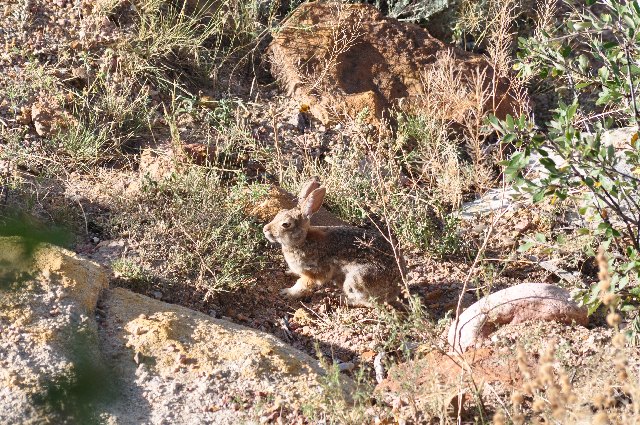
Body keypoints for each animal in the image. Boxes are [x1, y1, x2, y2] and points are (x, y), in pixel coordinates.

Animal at [262, 177, 402, 306]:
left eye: (286, 224)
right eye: (280, 212)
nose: (265, 229)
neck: (302, 241)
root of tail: (397, 287)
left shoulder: (314, 272)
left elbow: (302, 284)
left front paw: (287, 293)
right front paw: (289, 272)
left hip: (357, 279)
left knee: (369, 302)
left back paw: (341, 298)